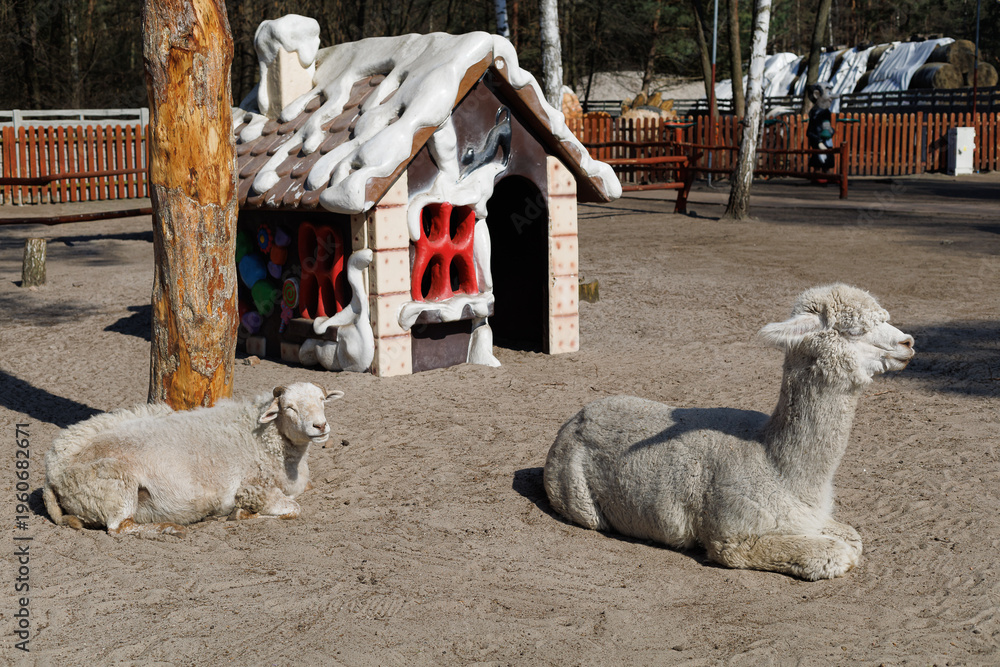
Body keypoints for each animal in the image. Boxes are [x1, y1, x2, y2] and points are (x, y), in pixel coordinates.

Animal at [42, 382, 343, 538]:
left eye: (322, 400)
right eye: (289, 408)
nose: (320, 426)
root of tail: (51, 474)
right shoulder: (253, 488)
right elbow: (293, 509)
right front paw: (240, 514)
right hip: (115, 485)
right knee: (119, 527)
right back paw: (168, 529)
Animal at [543, 284, 915, 580]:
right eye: (853, 329)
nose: (908, 342)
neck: (776, 464)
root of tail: (574, 418)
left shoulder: (808, 518)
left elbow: (853, 538)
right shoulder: (734, 536)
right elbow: (837, 553)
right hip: (576, 494)